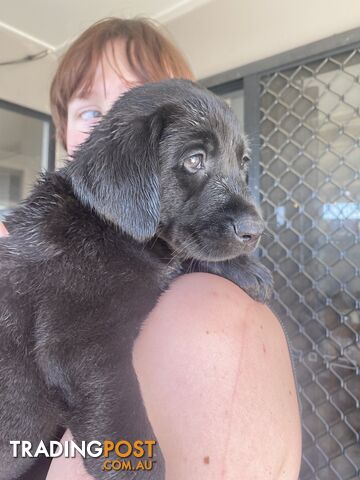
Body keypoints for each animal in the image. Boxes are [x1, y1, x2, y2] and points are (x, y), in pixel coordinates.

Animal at [0, 78, 270, 476]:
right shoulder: (80, 346)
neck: (107, 227)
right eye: (194, 159)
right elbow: (123, 416)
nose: (255, 231)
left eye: (243, 162)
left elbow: (183, 256)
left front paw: (245, 268)